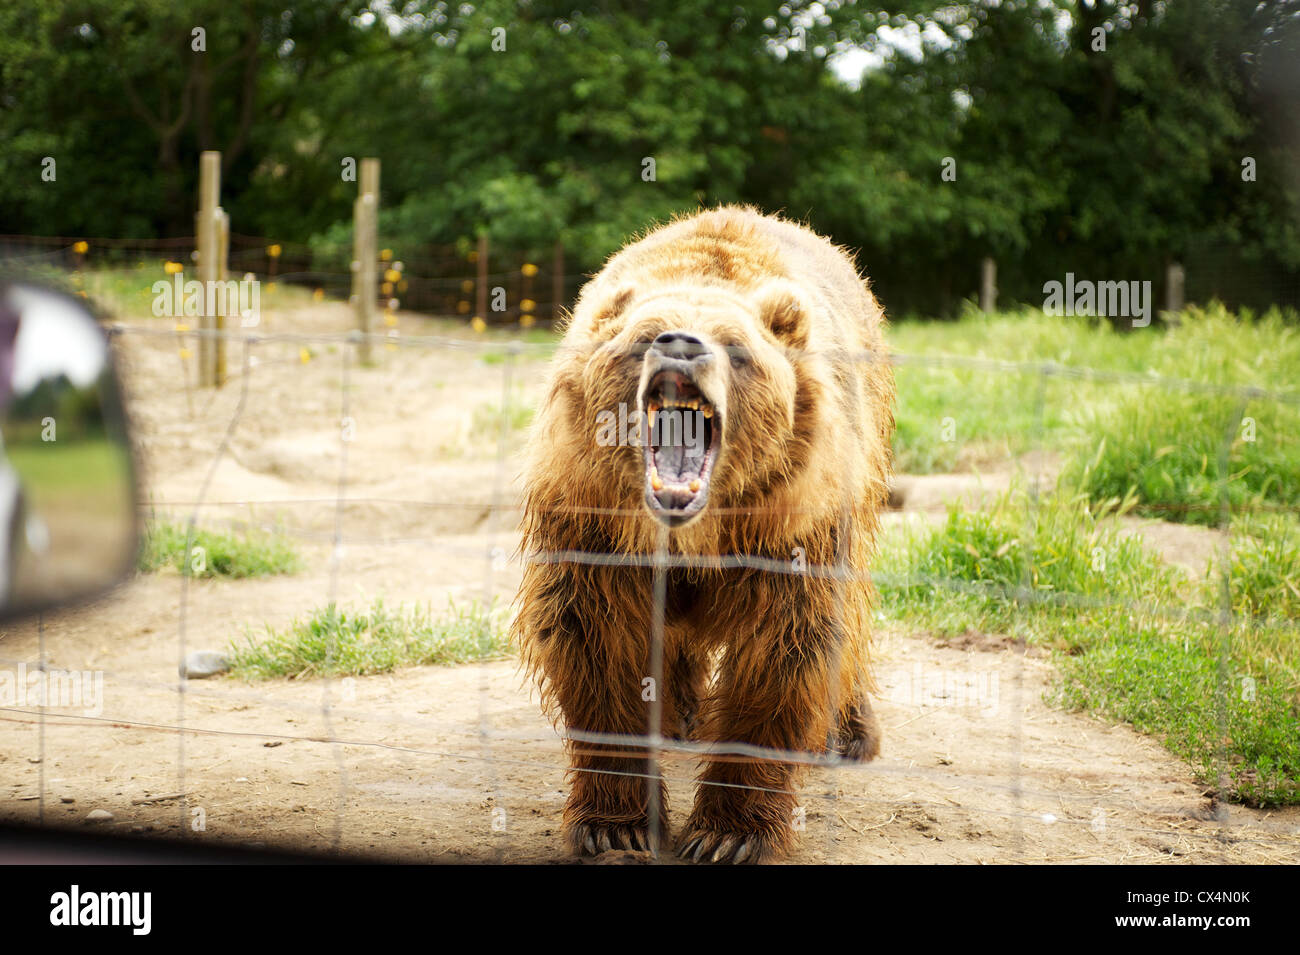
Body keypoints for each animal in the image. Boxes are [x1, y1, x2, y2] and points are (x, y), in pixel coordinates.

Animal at [509, 205, 894, 862]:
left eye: (736, 347)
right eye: (646, 337)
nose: (682, 346)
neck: (693, 530)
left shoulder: (788, 530)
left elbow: (785, 650)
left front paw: (728, 834)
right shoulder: (592, 519)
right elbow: (594, 639)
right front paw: (617, 824)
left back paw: (847, 733)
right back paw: (677, 711)